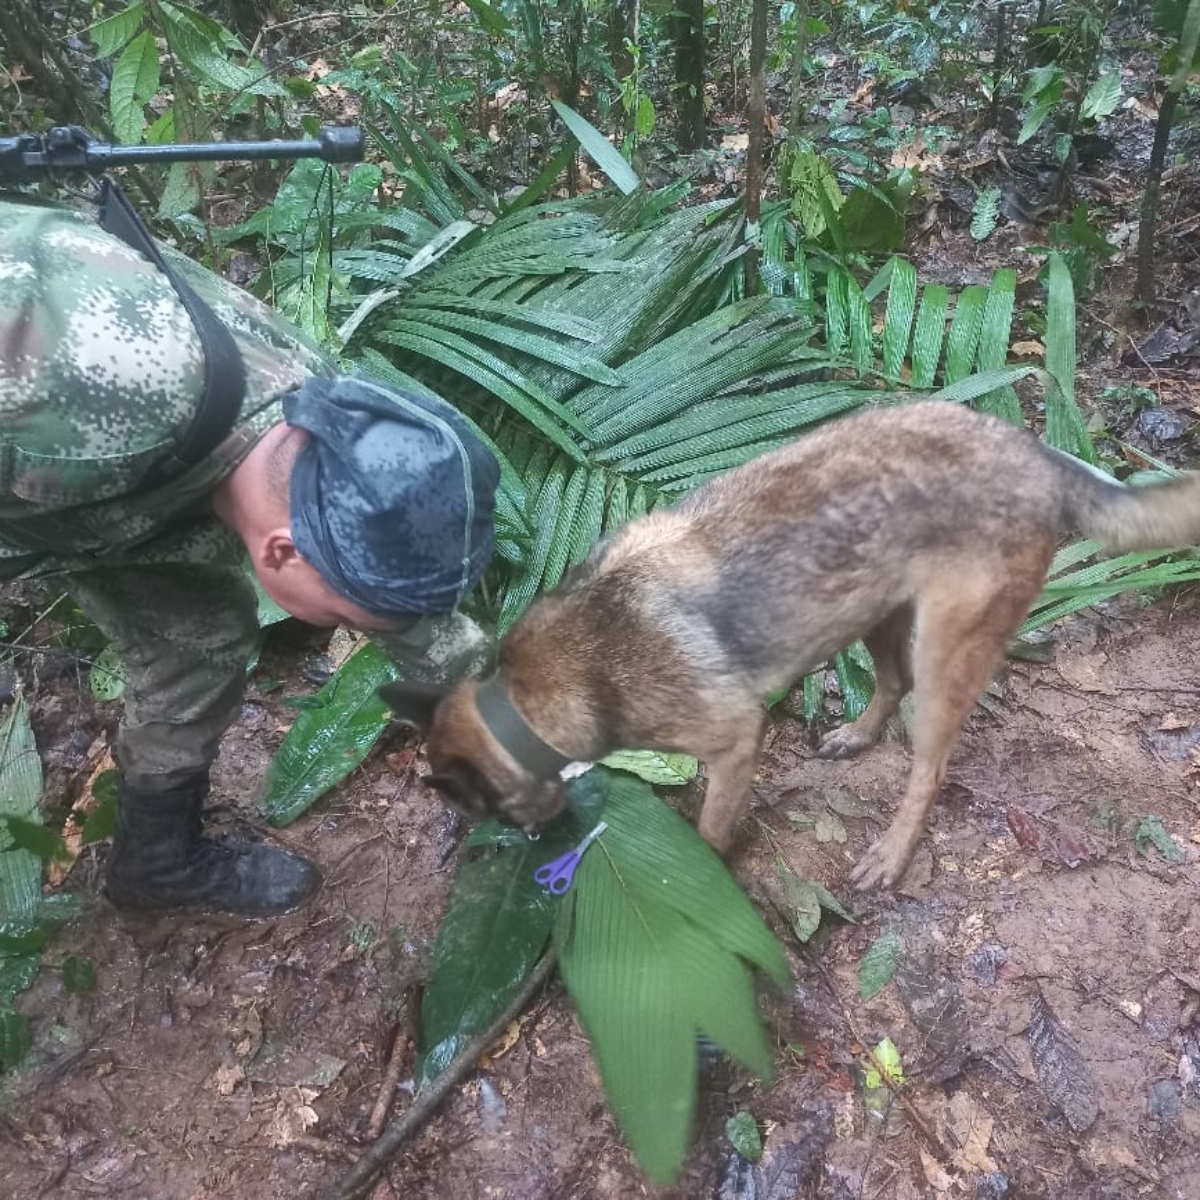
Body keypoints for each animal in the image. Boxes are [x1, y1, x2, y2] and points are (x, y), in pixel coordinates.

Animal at [381, 403, 1200, 892]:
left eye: (486, 811)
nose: (531, 842)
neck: (528, 695)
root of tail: (1039, 455)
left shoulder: (734, 743)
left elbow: (711, 830)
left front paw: (704, 878)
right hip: (872, 611)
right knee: (891, 683)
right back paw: (857, 736)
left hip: (945, 653)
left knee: (929, 765)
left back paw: (892, 852)